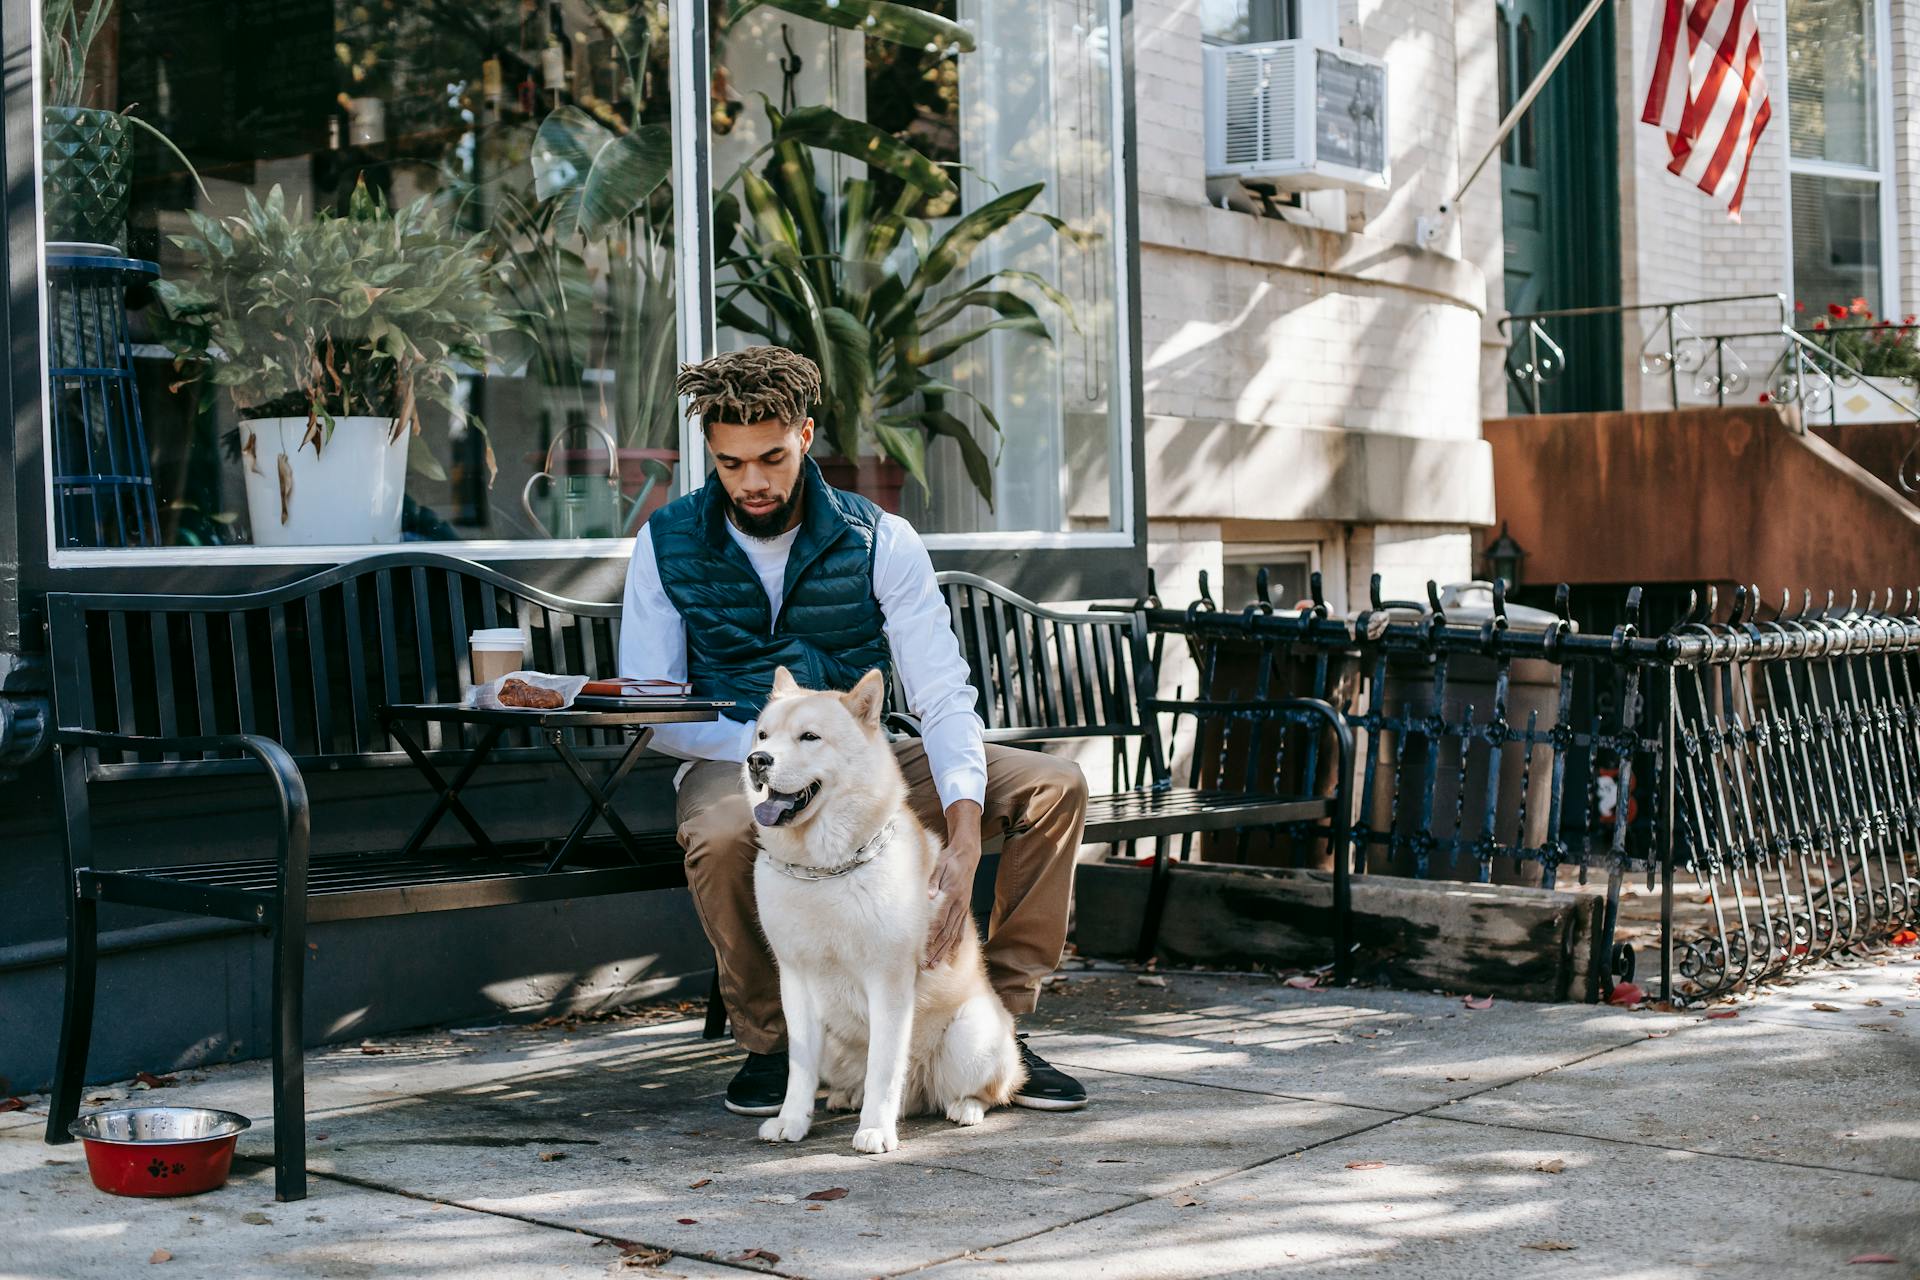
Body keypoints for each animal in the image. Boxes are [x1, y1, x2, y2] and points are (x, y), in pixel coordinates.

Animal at [741, 667, 1029, 1159]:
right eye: (763, 735)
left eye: (809, 737)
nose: (757, 760)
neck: (826, 870)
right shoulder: (794, 981)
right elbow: (799, 1069)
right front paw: (792, 1121)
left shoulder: (889, 983)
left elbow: (885, 1065)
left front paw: (876, 1128)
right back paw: (845, 1097)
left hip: (970, 1036)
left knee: (989, 1090)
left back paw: (964, 1108)